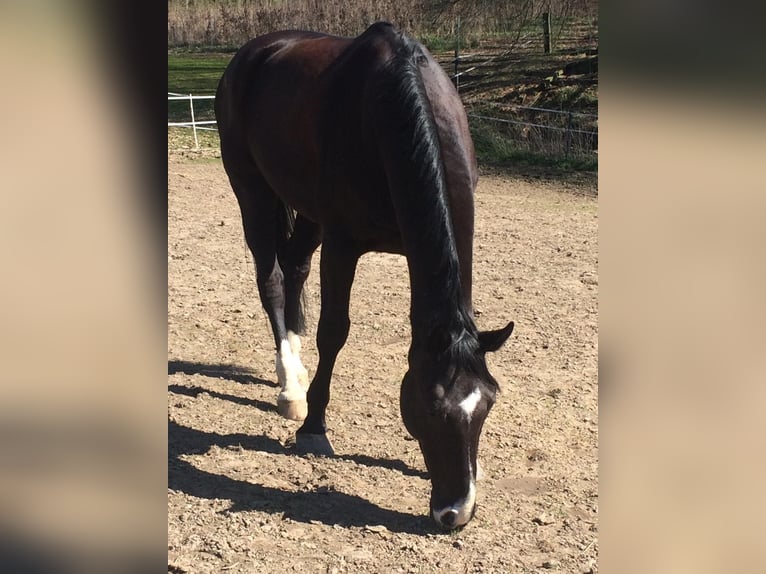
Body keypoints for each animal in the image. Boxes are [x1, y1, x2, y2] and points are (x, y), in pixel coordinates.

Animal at [214, 22, 516, 528]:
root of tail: (254, 51)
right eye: (431, 405)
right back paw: (291, 387)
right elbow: (334, 331)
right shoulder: (343, 244)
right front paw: (314, 428)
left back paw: (292, 370)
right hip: (251, 189)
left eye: (488, 402)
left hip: (306, 213)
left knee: (294, 266)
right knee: (271, 277)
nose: (455, 513)